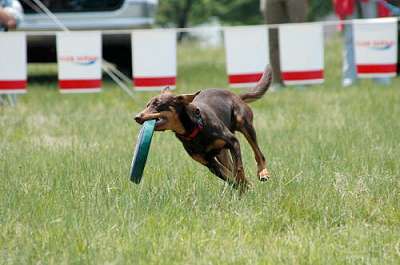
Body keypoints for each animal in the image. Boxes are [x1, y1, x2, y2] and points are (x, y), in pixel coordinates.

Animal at [135, 66, 272, 190]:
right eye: (147, 105)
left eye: (157, 104)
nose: (136, 117)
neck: (193, 130)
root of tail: (236, 95)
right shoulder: (209, 163)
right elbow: (229, 177)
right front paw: (244, 187)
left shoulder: (233, 141)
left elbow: (238, 168)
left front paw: (245, 185)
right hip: (222, 154)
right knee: (230, 166)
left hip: (244, 123)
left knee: (258, 153)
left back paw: (263, 173)